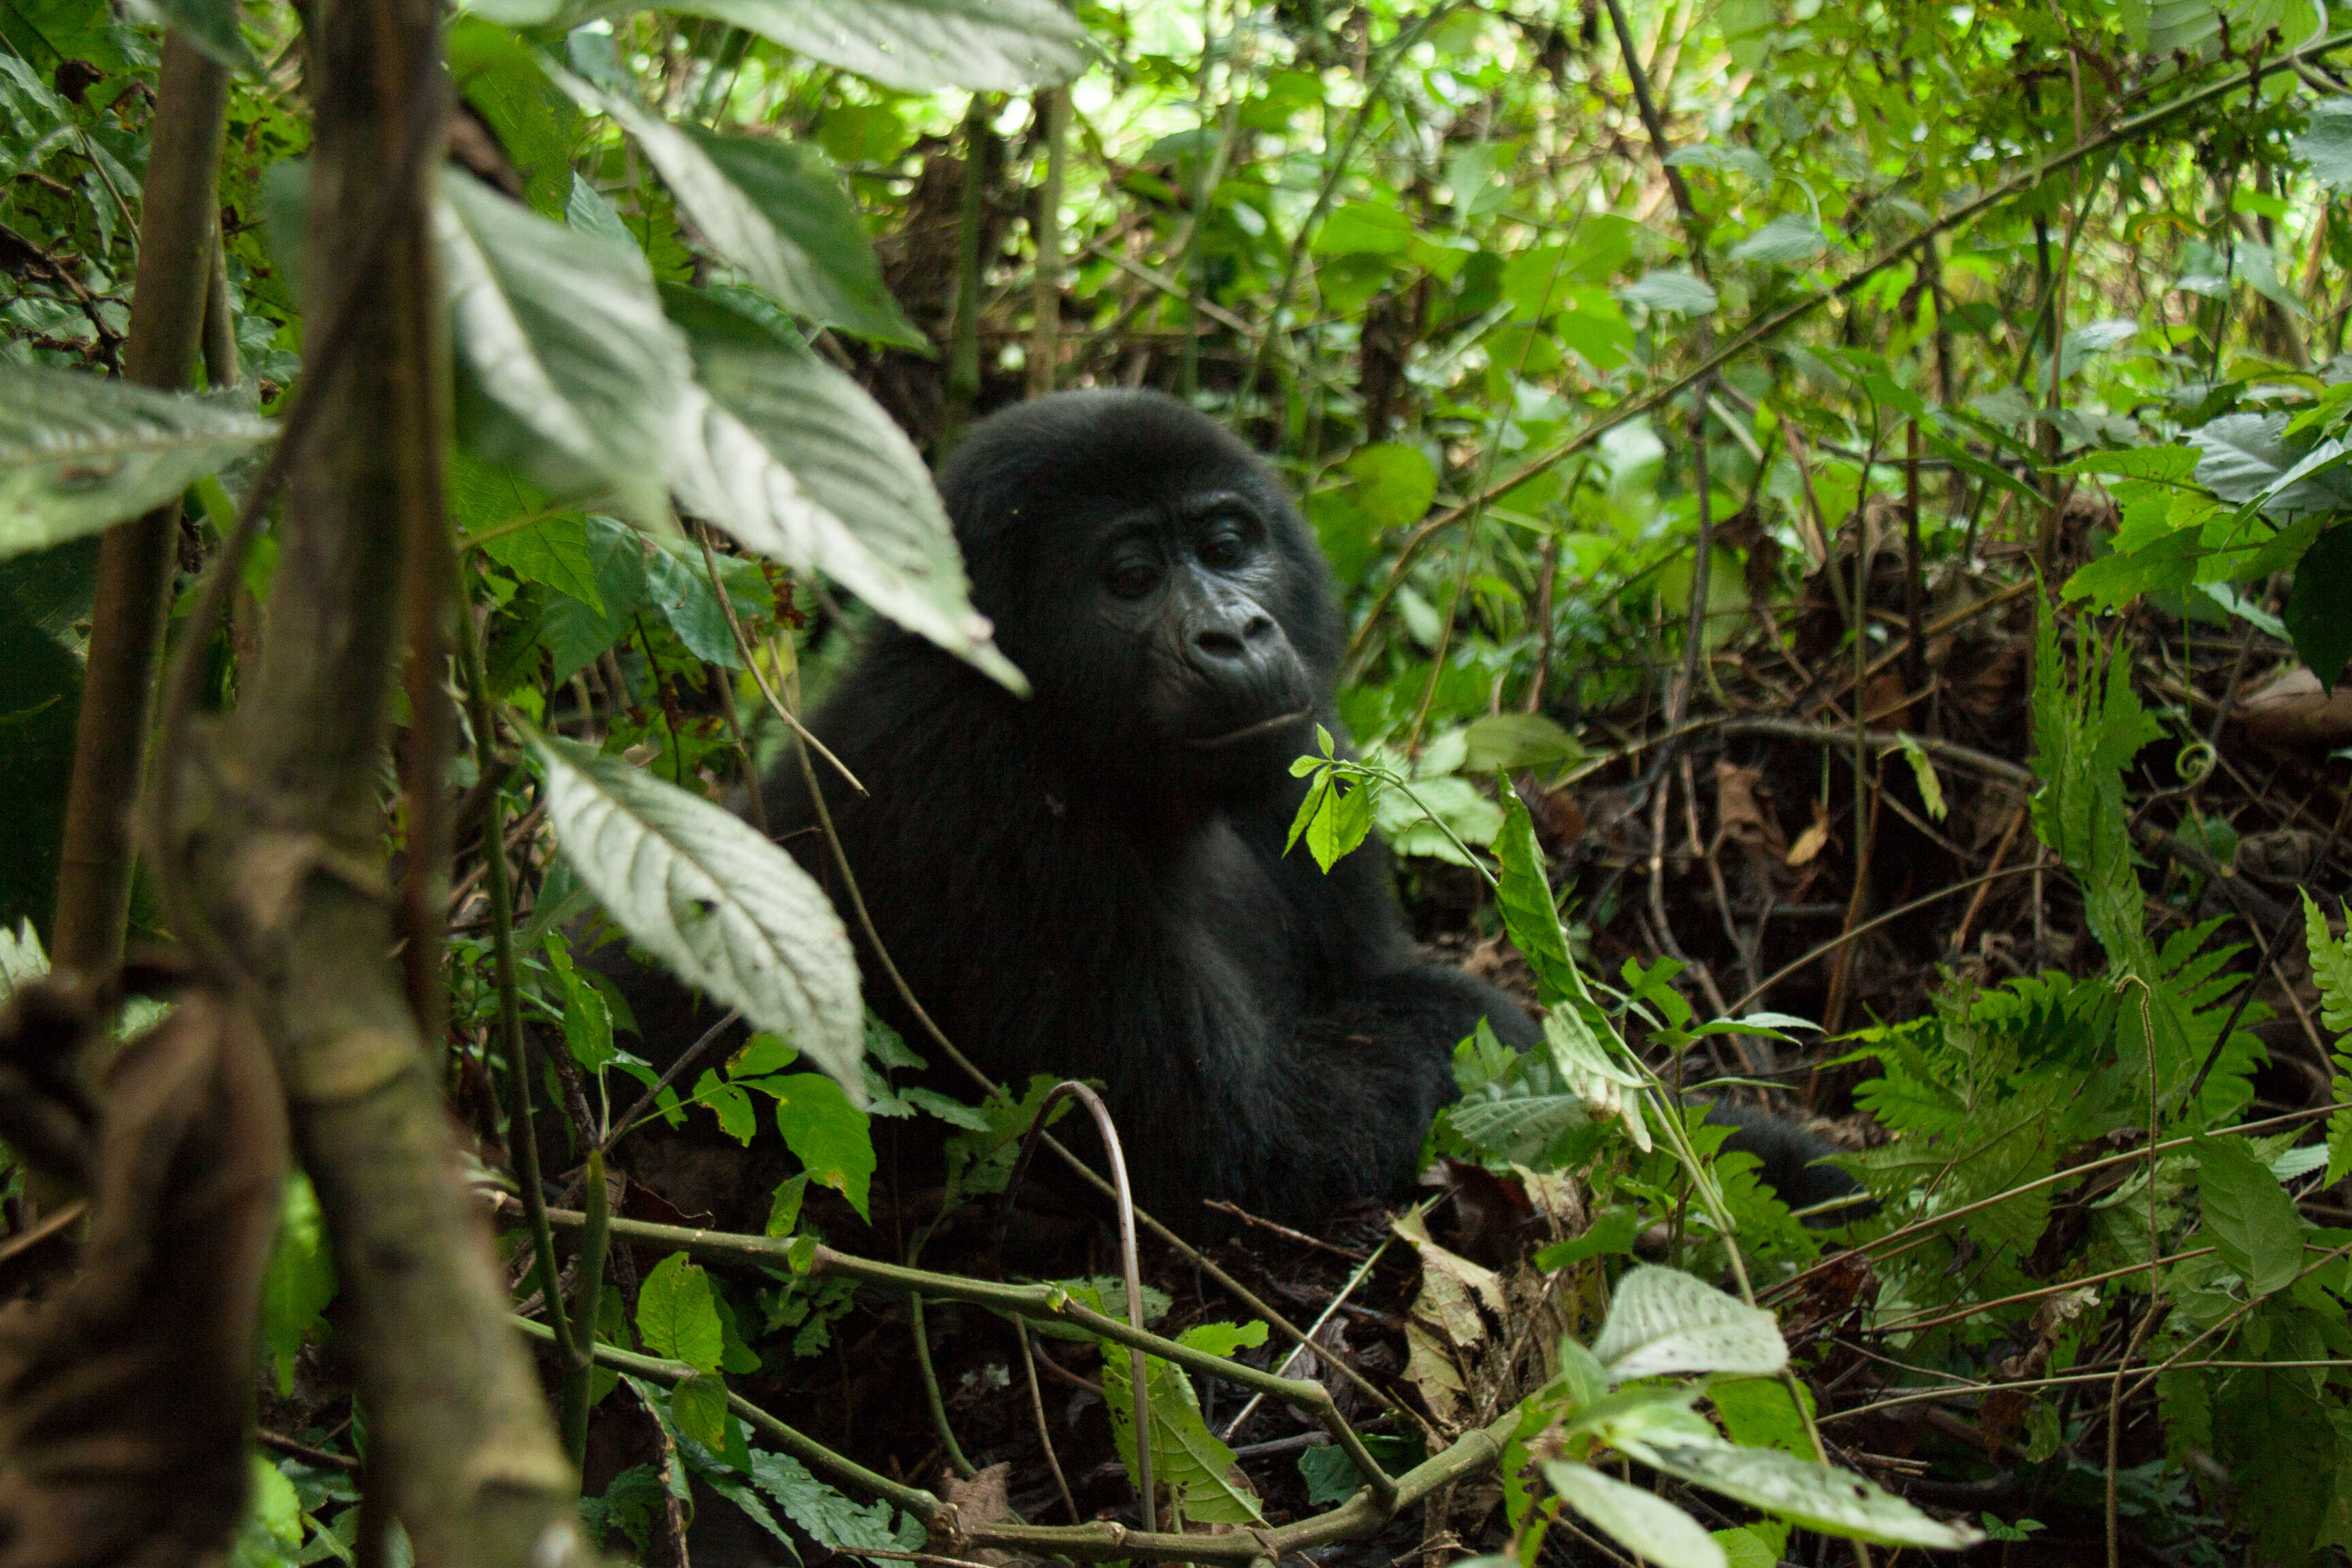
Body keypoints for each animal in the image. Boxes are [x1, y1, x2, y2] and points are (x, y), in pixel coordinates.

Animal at [640, 385, 1853, 1232]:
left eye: (1229, 547)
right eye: (1131, 576)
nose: (1234, 632)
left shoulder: (1312, 754)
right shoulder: (978, 802)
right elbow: (1254, 1145)